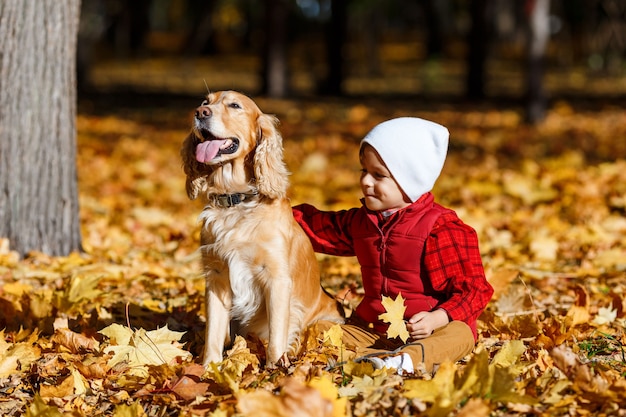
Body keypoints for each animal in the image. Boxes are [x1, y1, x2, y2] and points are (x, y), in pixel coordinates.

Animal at [180, 89, 344, 366]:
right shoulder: (217, 277)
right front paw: (209, 368)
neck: (236, 200)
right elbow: (213, 332)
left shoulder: (276, 278)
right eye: (205, 102)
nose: (200, 113)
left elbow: (277, 333)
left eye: (235, 105)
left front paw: (274, 368)